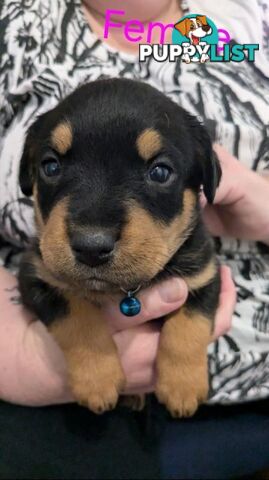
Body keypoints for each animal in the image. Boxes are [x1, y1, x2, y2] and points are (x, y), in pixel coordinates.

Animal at [18, 79, 220, 416]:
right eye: (50, 166)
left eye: (160, 172)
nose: (91, 246)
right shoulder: (37, 276)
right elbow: (77, 316)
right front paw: (98, 381)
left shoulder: (204, 275)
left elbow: (189, 326)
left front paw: (183, 388)